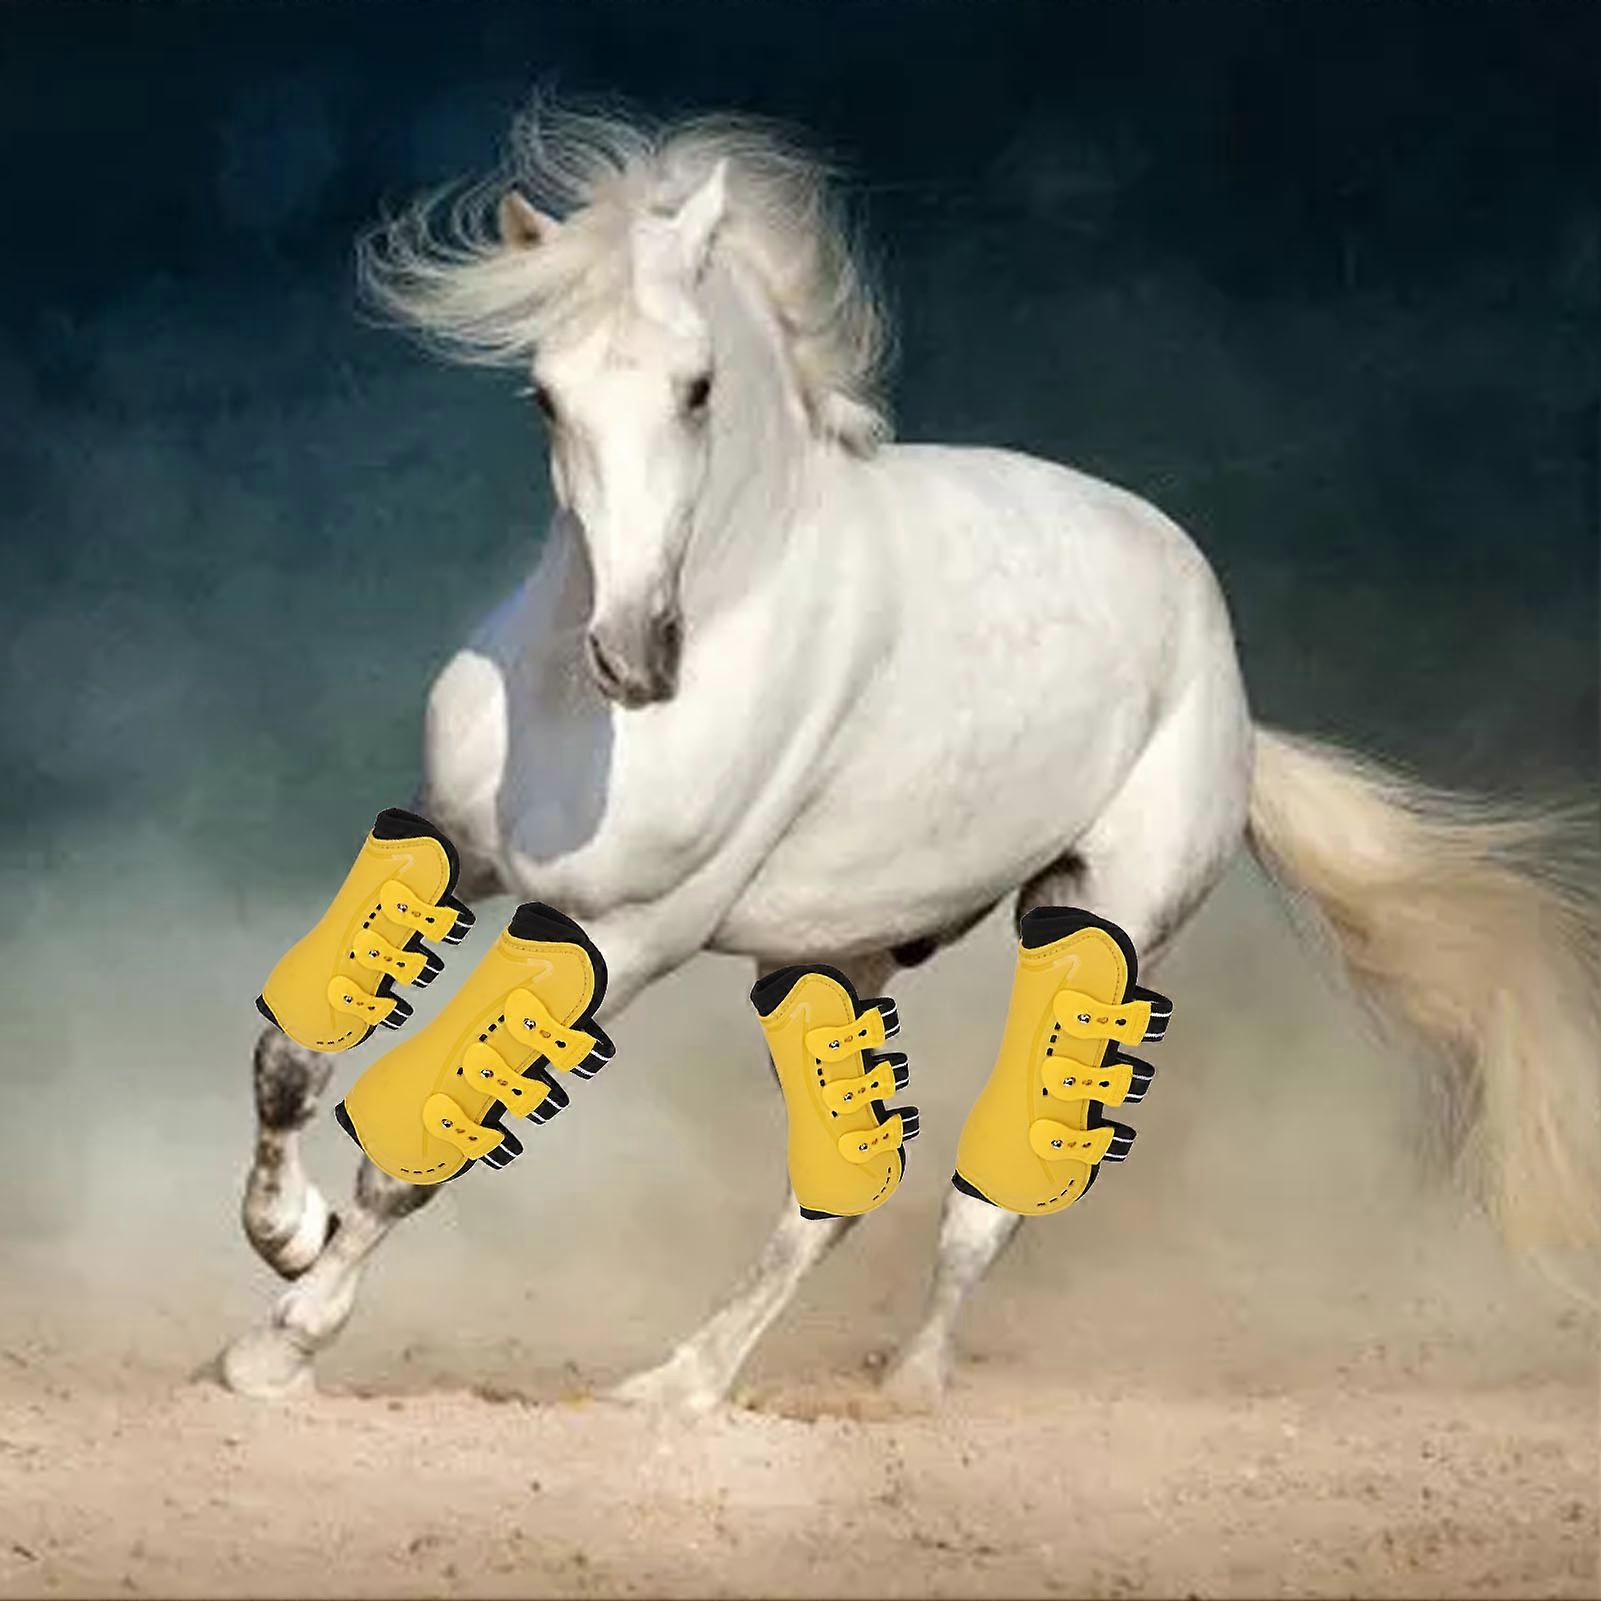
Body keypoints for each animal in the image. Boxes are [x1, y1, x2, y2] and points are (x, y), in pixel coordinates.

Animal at [220, 106, 1598, 1410]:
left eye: (697, 388)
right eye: (545, 396)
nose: (633, 654)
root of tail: (1232, 690)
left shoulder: (626, 931)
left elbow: (416, 1145)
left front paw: (278, 1344)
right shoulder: (452, 837)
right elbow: (296, 1050)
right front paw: (285, 1234)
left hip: (1099, 922)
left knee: (993, 1184)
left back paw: (898, 1389)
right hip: (835, 958)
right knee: (836, 1188)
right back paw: (685, 1384)